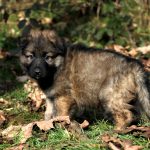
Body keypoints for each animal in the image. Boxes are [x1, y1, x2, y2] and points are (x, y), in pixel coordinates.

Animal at [19, 29, 150, 131]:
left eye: (48, 57)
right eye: (30, 56)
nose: (37, 72)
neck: (57, 67)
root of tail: (135, 66)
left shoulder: (63, 98)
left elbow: (61, 115)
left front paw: (61, 128)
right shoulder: (51, 97)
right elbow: (49, 113)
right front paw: (48, 126)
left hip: (109, 93)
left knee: (126, 114)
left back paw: (117, 130)